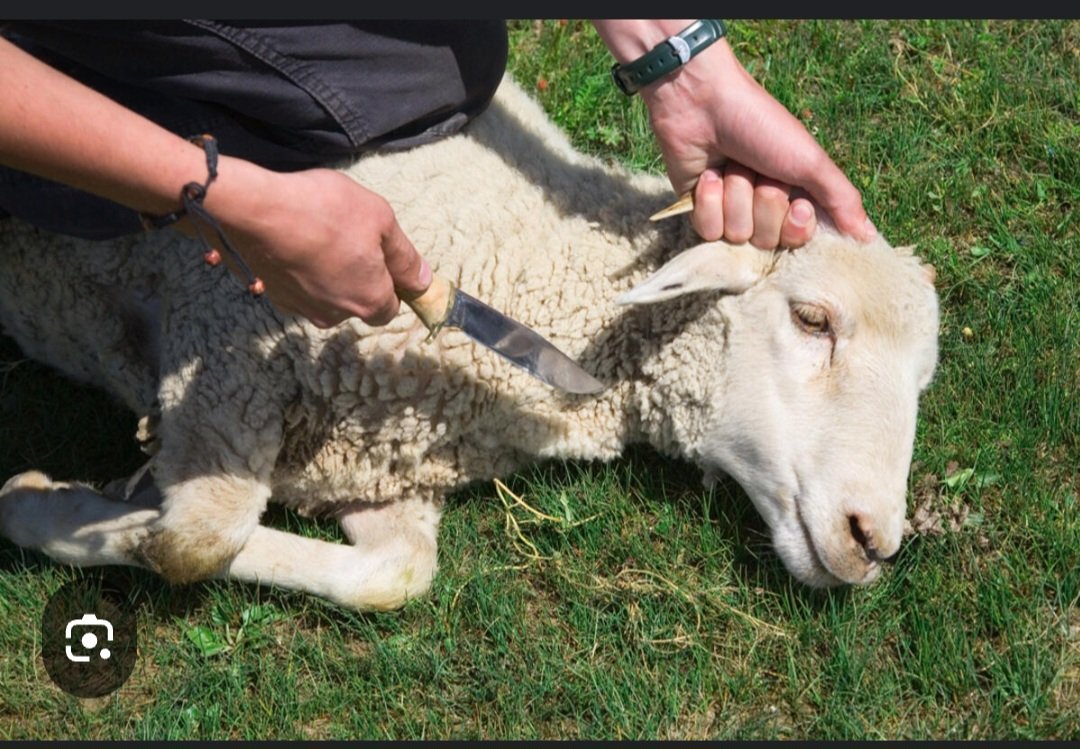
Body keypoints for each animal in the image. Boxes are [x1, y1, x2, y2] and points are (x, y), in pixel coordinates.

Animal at [0, 76, 937, 608]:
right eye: (812, 319)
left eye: (921, 381)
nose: (874, 541)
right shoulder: (224, 345)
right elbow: (192, 541)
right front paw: (56, 506)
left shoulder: (379, 463)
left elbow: (394, 577)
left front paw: (71, 505)